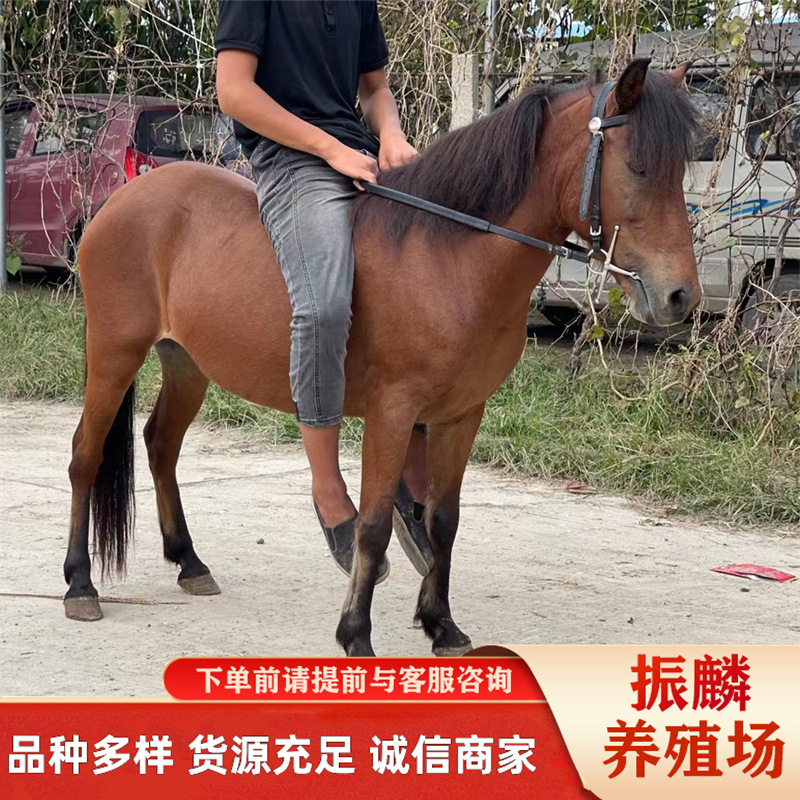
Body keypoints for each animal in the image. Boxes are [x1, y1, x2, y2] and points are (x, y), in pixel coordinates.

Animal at [64, 59, 702, 656]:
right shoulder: (392, 413)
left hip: (186, 363)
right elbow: (371, 526)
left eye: (680, 170)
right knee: (85, 456)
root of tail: (121, 200)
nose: (681, 297)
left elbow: (444, 519)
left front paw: (441, 624)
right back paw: (80, 585)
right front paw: (356, 634)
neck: (447, 255)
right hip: (115, 352)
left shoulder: (460, 415)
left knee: (160, 444)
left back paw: (189, 562)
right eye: (638, 168)